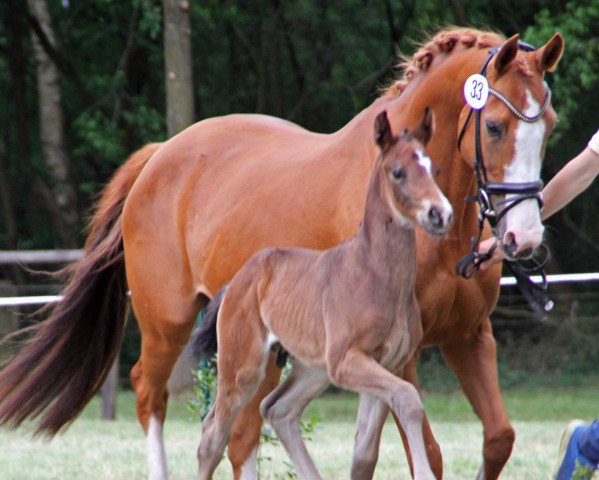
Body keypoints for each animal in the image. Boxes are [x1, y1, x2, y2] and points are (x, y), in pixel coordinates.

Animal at [195, 109, 452, 480]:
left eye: (433, 169)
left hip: (312, 367)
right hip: (243, 367)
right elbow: (409, 400)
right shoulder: (346, 360)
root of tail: (236, 282)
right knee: (213, 434)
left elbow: (365, 453)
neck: (376, 276)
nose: (440, 214)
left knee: (278, 409)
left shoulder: (389, 362)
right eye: (398, 172)